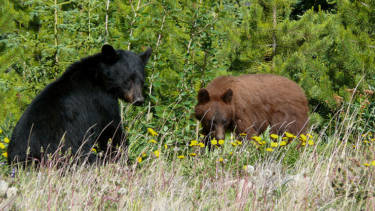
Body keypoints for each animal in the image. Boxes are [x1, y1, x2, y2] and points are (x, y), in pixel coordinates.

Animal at [7, 44, 152, 165]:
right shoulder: (101, 102)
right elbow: (111, 129)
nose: (139, 99)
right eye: (127, 80)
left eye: (141, 80)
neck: (100, 78)